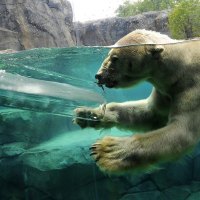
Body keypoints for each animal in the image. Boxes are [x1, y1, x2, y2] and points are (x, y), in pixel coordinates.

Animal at [74, 29, 200, 173]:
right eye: (109, 54)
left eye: (114, 58)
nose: (98, 75)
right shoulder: (165, 90)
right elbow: (150, 113)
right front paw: (88, 114)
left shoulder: (191, 87)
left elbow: (182, 131)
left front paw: (108, 150)